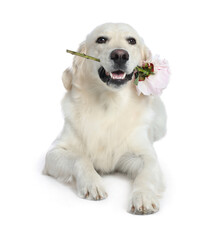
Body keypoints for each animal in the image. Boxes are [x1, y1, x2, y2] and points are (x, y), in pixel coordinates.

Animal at [43, 22, 167, 214]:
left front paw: (143, 197)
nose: (120, 55)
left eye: (132, 41)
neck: (109, 104)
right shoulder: (54, 152)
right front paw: (92, 183)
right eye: (101, 39)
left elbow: (146, 174)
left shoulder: (145, 155)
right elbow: (81, 158)